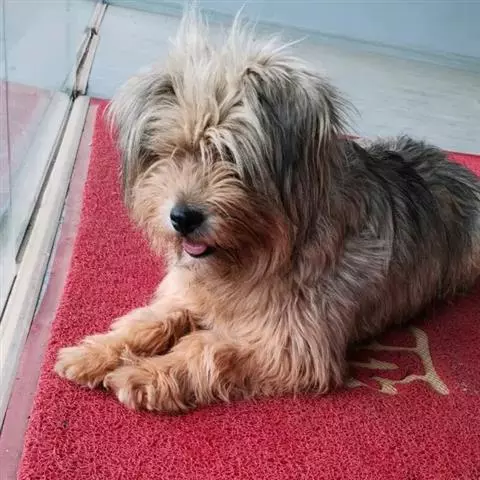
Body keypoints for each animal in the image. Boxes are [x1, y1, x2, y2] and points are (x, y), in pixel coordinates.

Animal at [55, 9, 480, 413]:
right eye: (171, 152)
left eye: (230, 156)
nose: (182, 218)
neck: (252, 257)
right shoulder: (186, 293)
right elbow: (149, 320)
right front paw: (94, 353)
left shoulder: (292, 345)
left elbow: (205, 348)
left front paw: (144, 375)